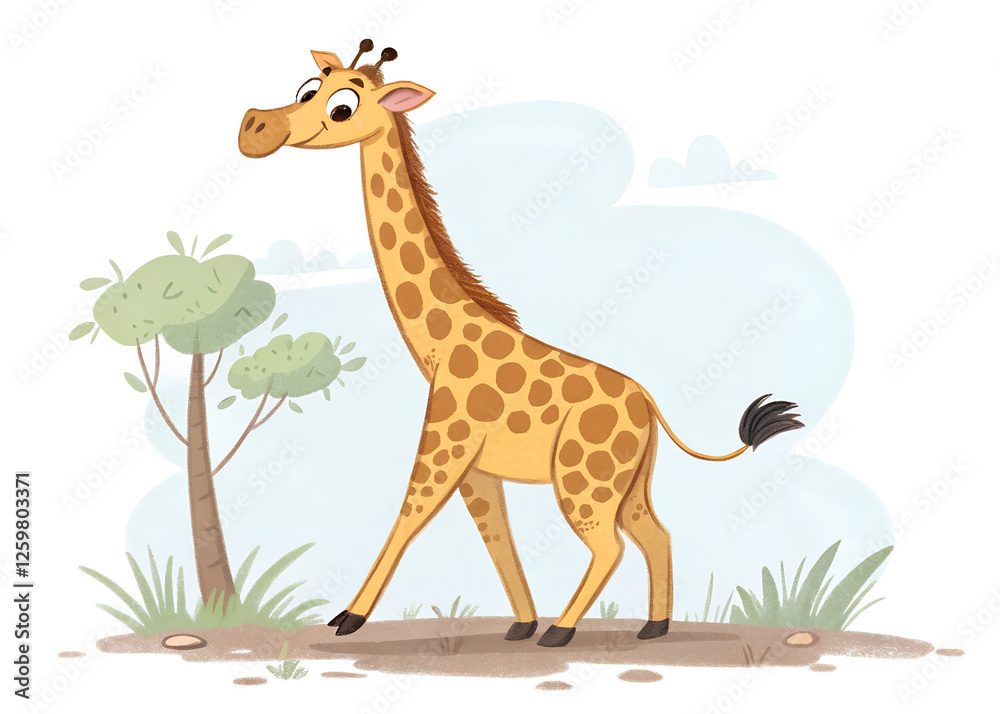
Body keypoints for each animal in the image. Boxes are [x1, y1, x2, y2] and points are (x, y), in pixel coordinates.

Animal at [238, 42, 804, 647]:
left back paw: (565, 630)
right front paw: (521, 622)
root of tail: (650, 406)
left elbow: (409, 516)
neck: (439, 345)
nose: (254, 126)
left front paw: (349, 617)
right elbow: (497, 540)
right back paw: (652, 626)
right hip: (627, 482)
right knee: (656, 533)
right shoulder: (478, 470)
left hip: (585, 479)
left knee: (610, 545)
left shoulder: (445, 444)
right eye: (306, 88)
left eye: (342, 105)